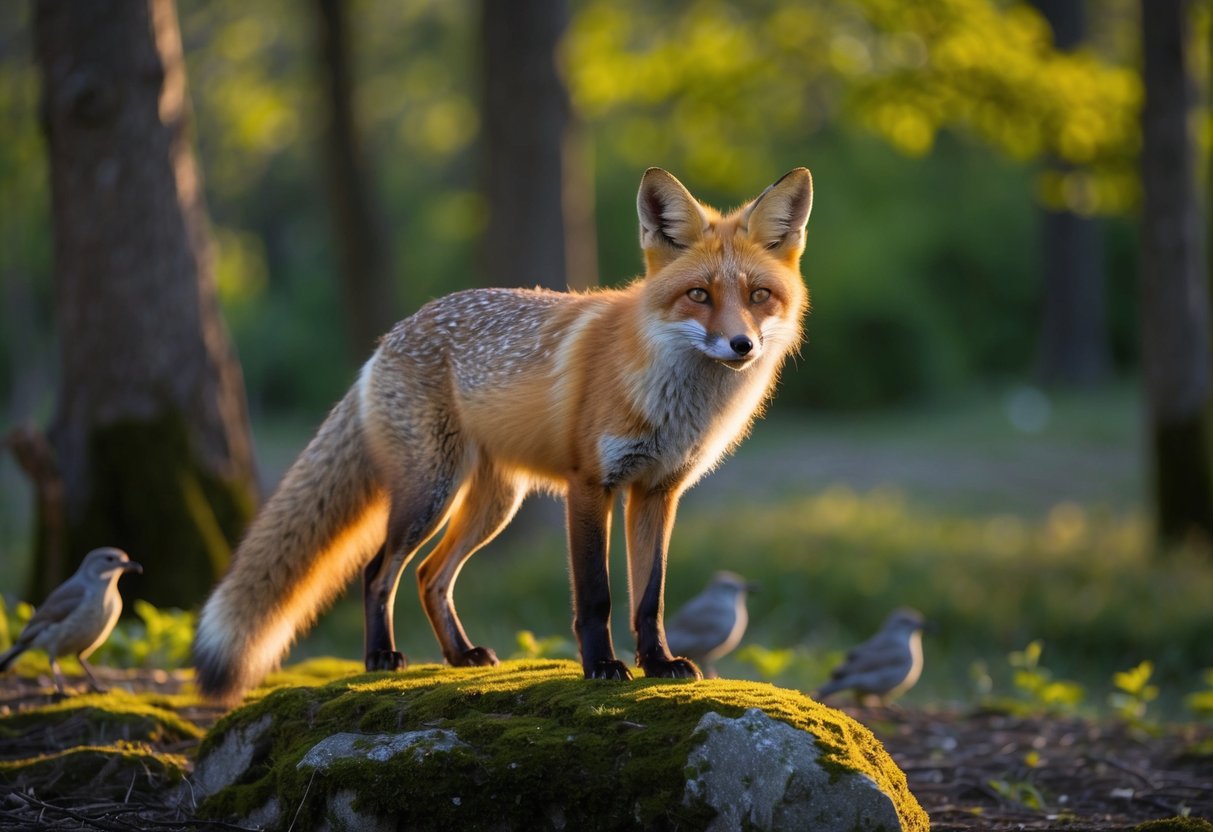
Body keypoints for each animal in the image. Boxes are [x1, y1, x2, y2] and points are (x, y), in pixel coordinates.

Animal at [192, 166, 813, 704]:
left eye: (758, 296)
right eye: (699, 295)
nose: (742, 345)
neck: (674, 400)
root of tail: (388, 339)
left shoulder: (658, 491)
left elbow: (649, 598)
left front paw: (658, 664)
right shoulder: (590, 485)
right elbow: (597, 595)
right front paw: (601, 668)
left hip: (494, 504)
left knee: (429, 577)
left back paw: (460, 656)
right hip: (429, 494)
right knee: (378, 571)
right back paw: (380, 657)